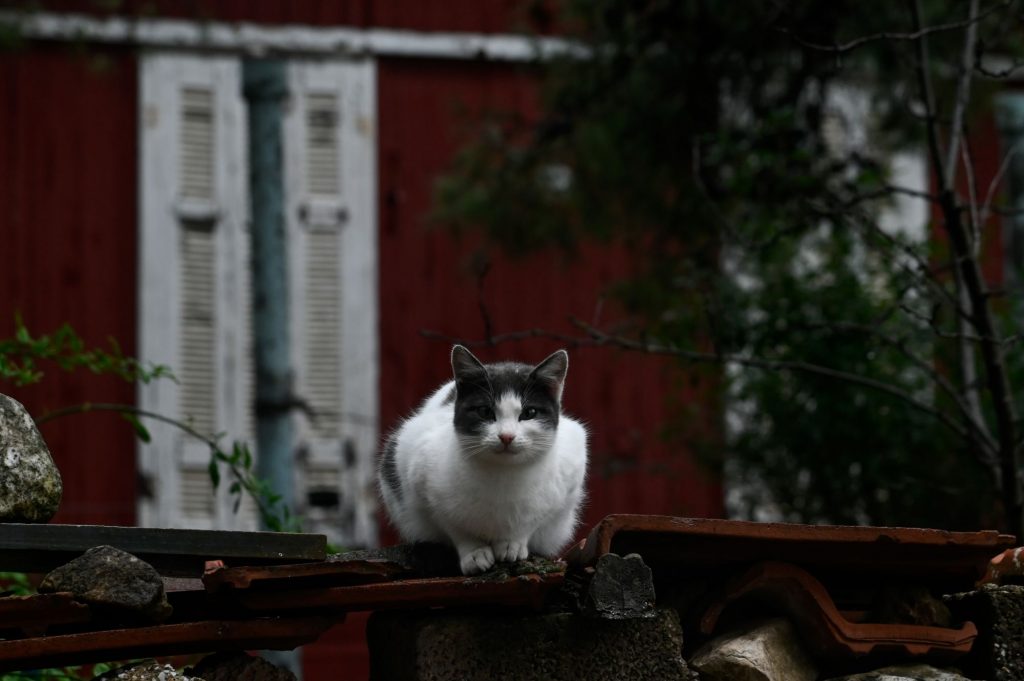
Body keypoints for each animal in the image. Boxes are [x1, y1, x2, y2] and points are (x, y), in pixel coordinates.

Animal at [380, 346, 589, 573]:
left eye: (530, 412)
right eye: (485, 411)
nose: (506, 436)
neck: (502, 477)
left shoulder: (569, 477)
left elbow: (530, 522)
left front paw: (512, 544)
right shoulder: (422, 482)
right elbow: (455, 528)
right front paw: (474, 553)